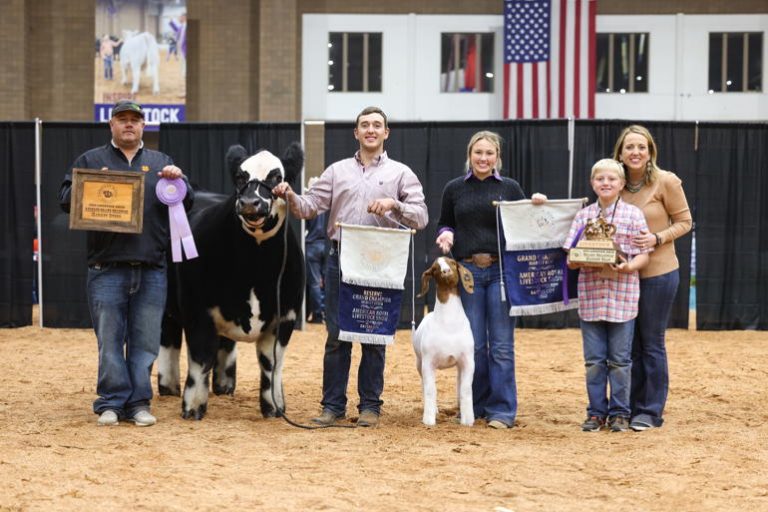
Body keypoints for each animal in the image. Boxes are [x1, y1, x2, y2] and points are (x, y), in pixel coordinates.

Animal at [414, 258, 474, 426]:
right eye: (435, 268)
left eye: (452, 263)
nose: (446, 271)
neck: (449, 326)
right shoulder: (428, 363)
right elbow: (430, 390)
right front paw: (428, 420)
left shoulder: (468, 361)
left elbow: (465, 389)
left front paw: (468, 420)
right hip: (419, 363)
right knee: (424, 385)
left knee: (459, 384)